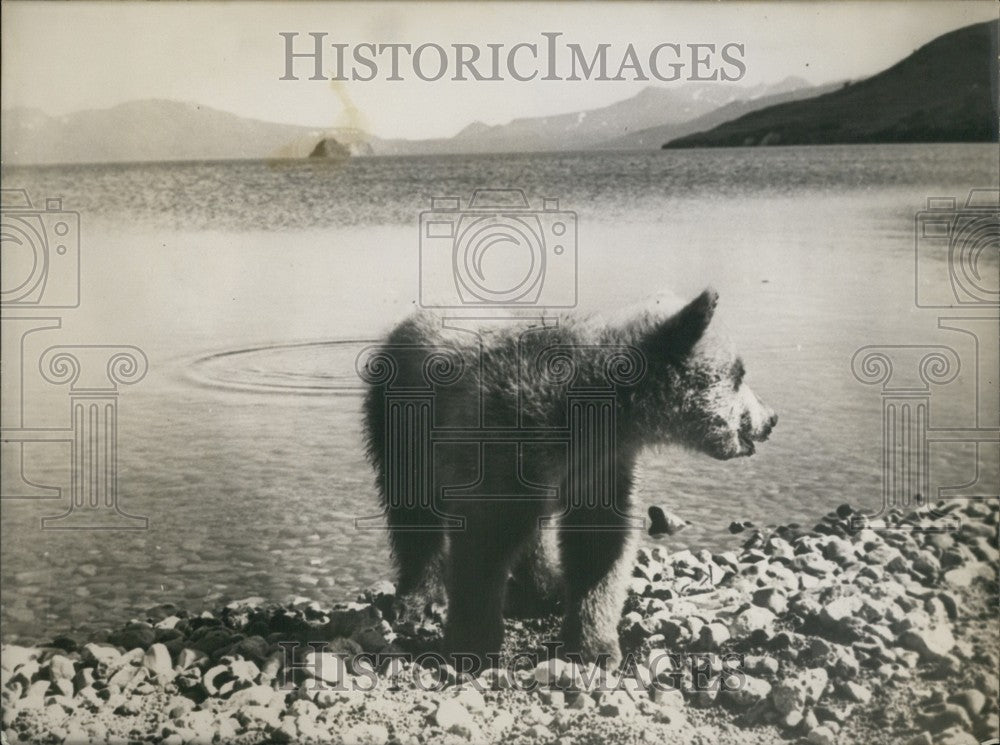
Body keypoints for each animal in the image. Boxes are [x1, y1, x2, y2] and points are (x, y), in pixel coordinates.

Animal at [360, 288, 776, 669]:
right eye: (739, 374)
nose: (771, 418)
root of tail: (409, 320)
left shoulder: (601, 466)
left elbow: (600, 548)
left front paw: (595, 645)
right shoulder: (508, 443)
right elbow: (484, 544)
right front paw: (472, 643)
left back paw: (546, 588)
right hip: (401, 424)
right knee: (413, 511)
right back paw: (418, 600)